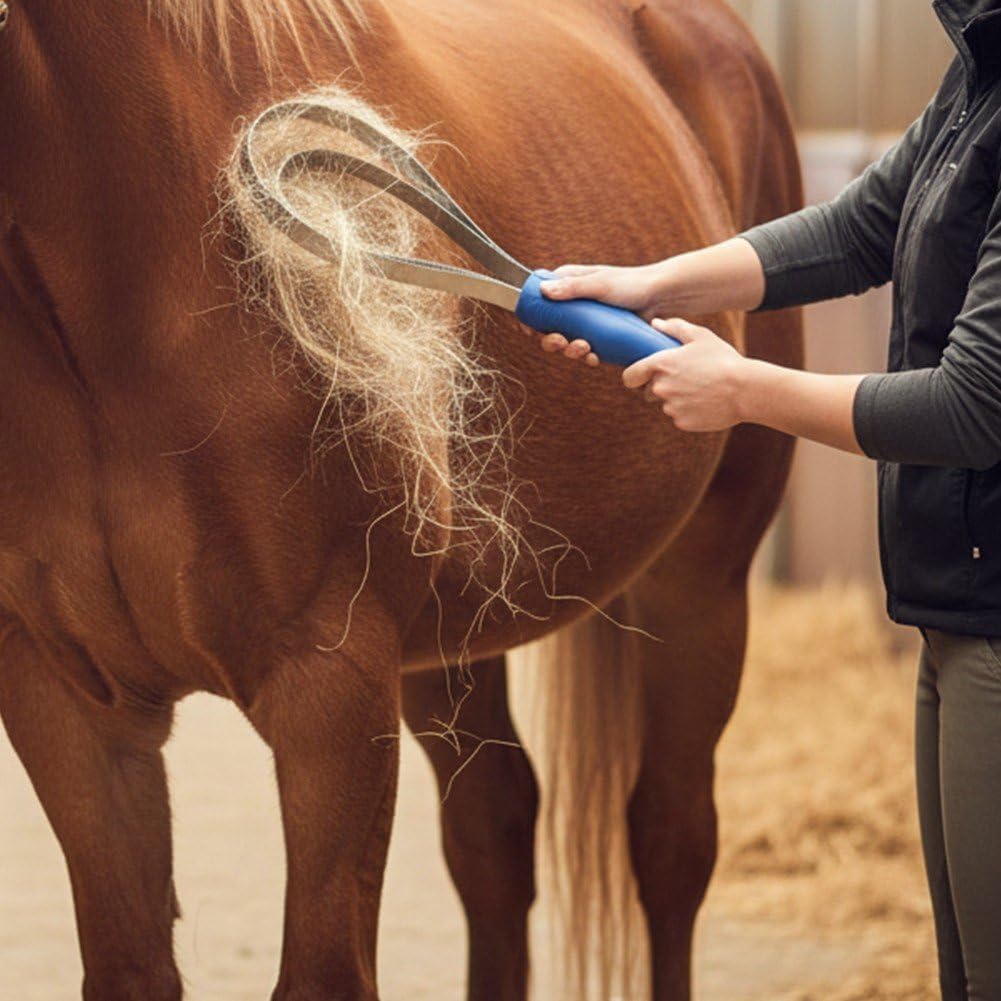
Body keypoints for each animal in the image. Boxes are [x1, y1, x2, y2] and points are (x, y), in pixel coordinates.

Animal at [0, 1, 802, 999]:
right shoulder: (63, 697)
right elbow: (127, 965)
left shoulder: (331, 687)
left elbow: (323, 972)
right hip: (448, 645)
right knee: (495, 836)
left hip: (701, 580)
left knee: (670, 840)